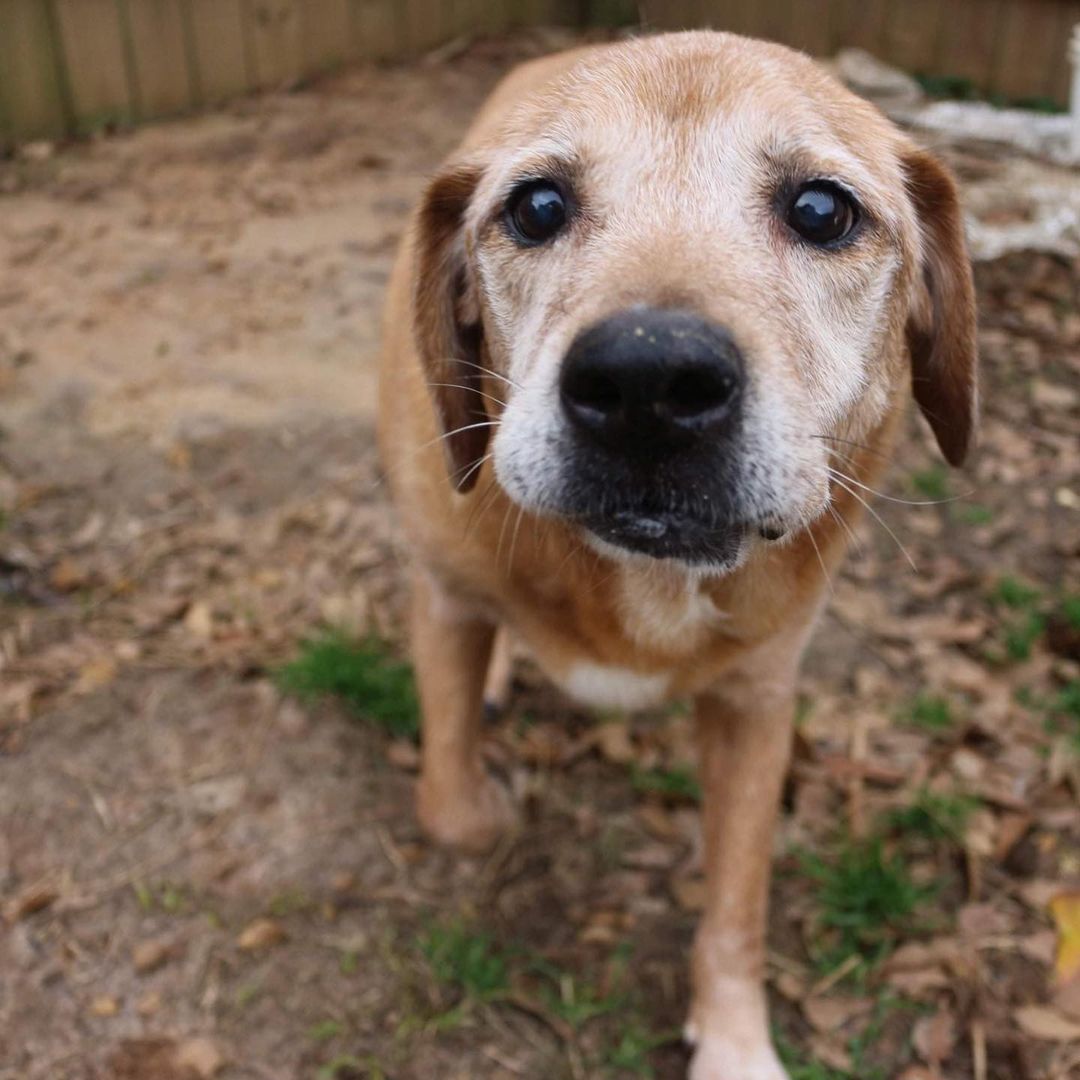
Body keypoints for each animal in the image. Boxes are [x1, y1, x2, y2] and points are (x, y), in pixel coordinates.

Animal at [378, 29, 980, 1075]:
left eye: (822, 210)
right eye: (536, 207)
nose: (646, 382)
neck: (640, 581)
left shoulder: (758, 703)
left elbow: (736, 905)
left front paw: (733, 1041)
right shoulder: (446, 594)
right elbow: (450, 810)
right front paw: (490, 802)